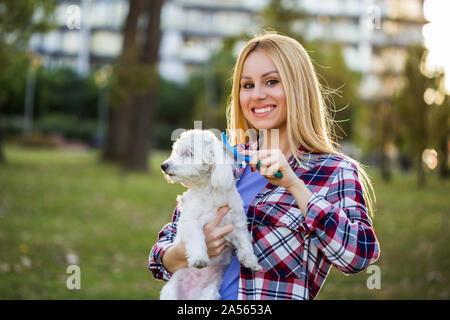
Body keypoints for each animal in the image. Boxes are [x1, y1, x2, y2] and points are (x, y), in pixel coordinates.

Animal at [159, 129, 262, 298]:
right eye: (175, 151)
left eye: (188, 153)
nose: (163, 165)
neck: (210, 191)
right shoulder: (191, 222)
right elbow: (197, 238)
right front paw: (199, 258)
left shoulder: (236, 224)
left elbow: (244, 243)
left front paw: (251, 261)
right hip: (170, 292)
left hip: (209, 293)